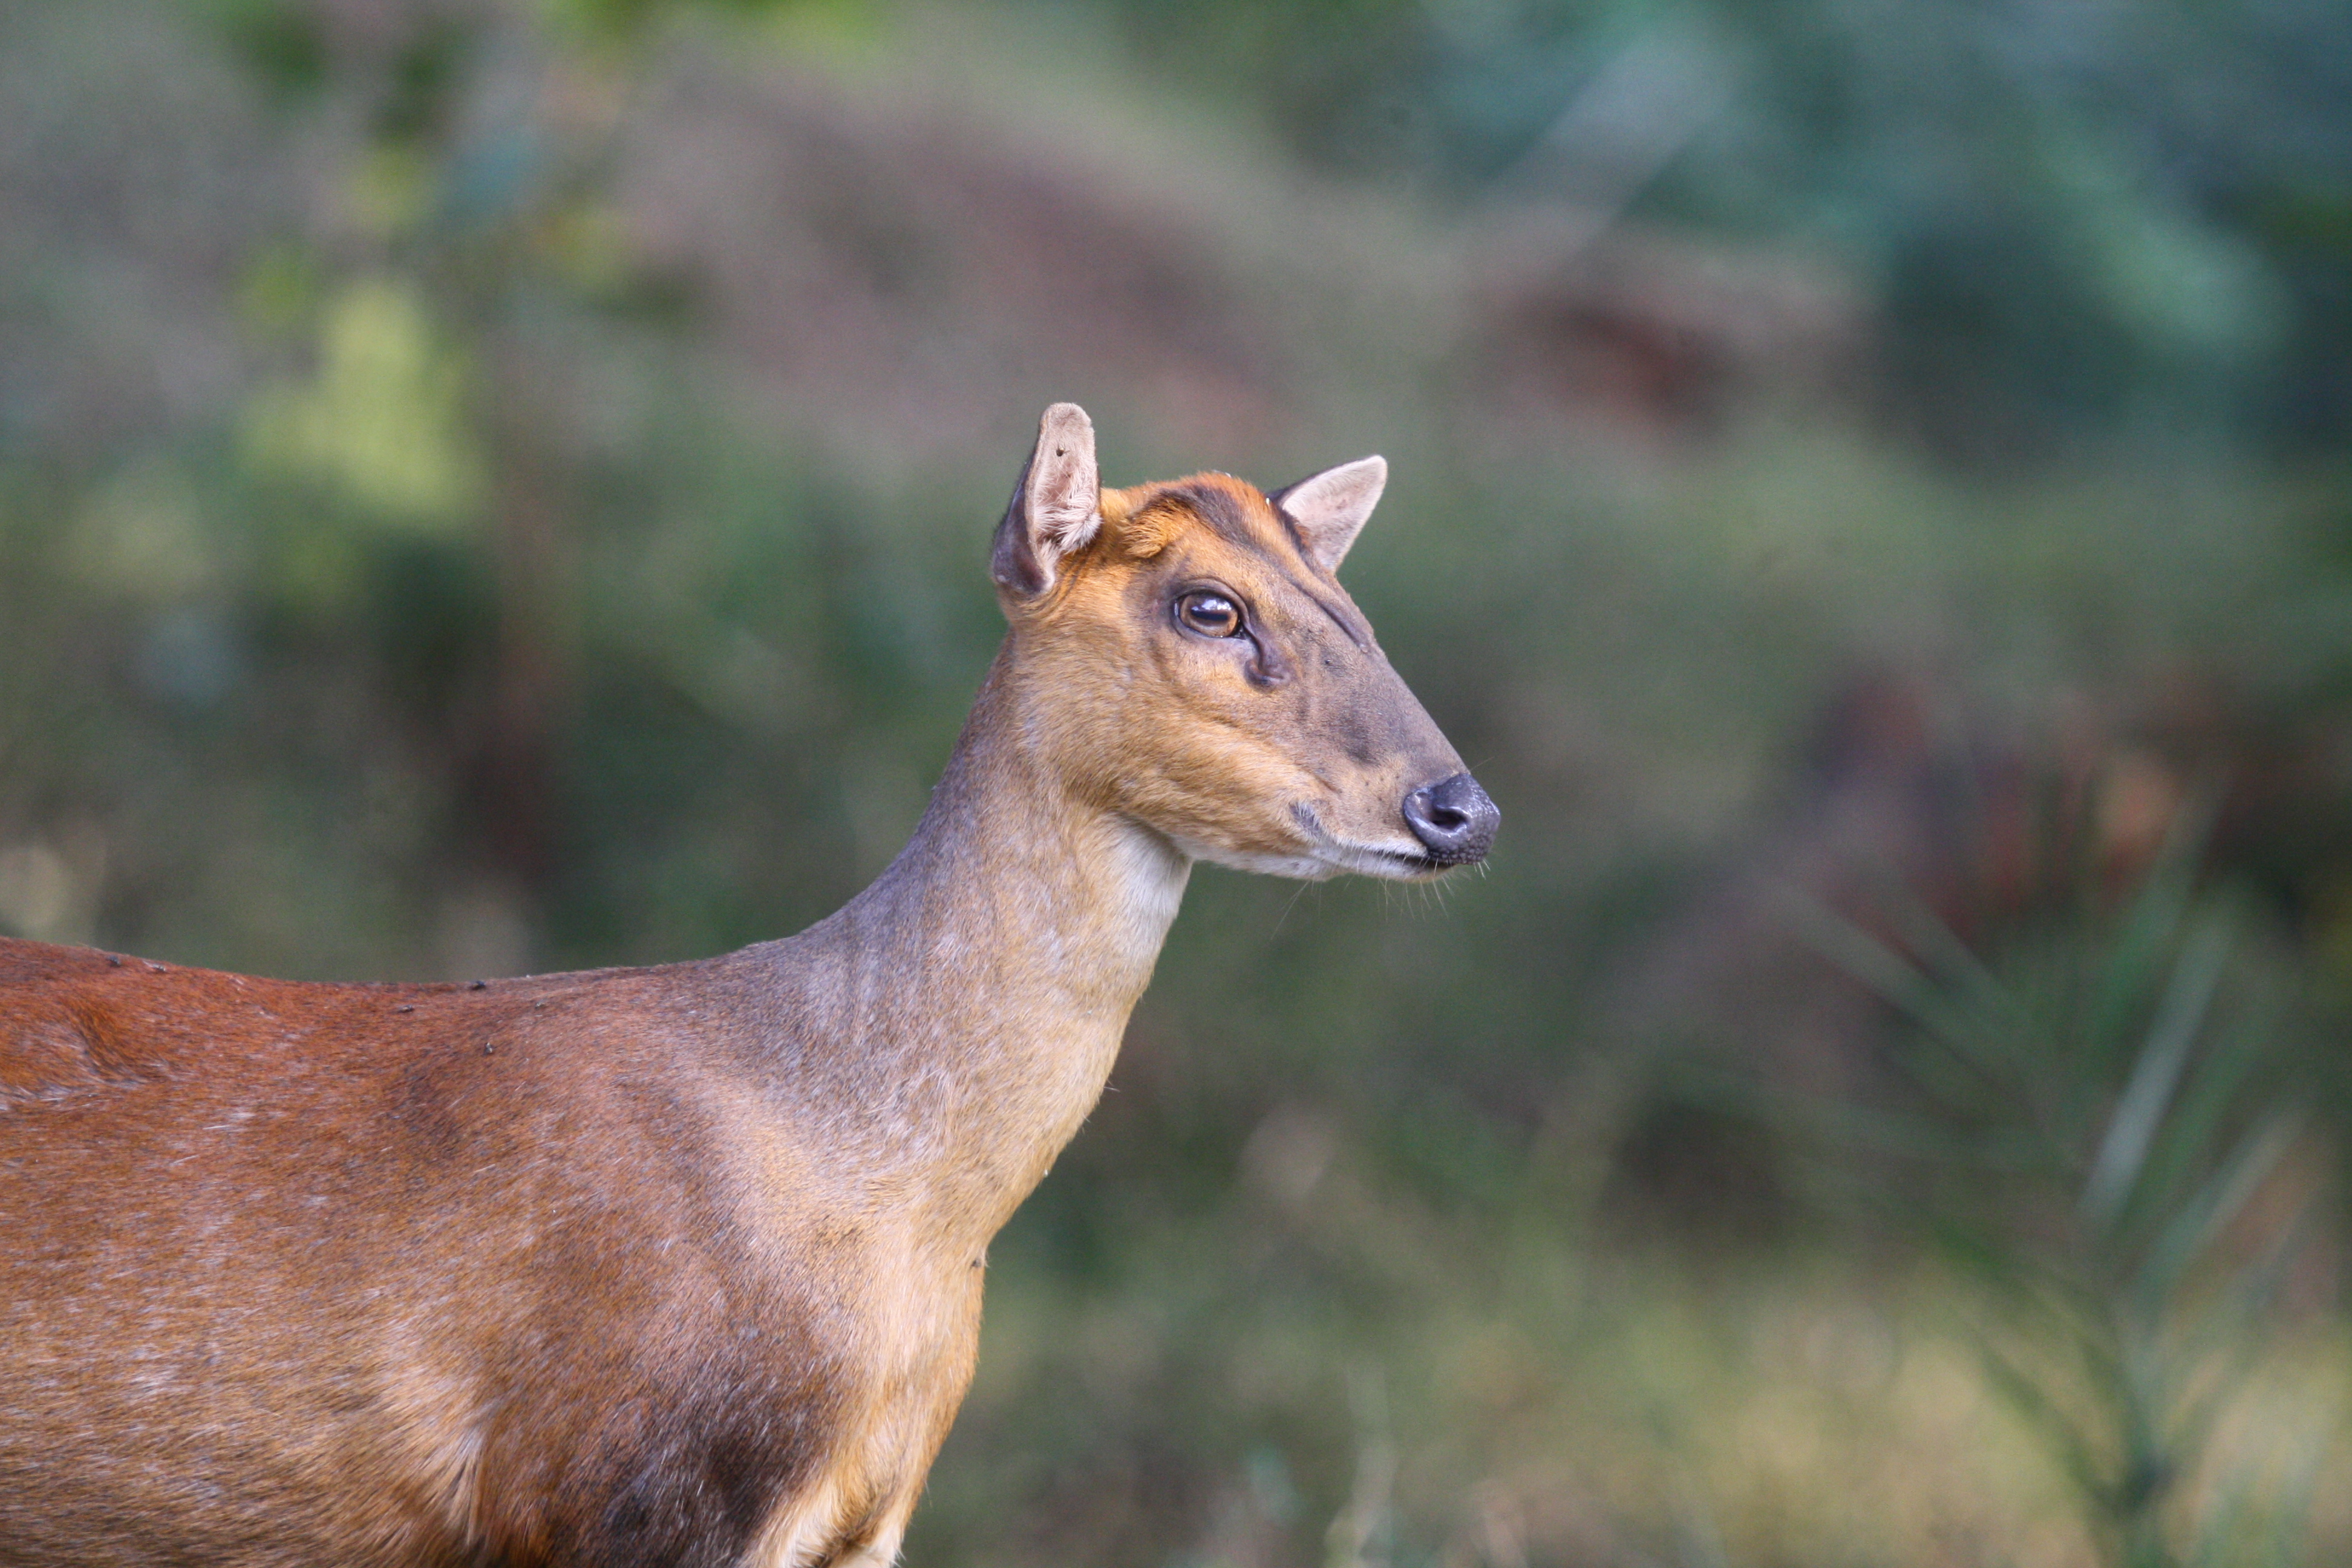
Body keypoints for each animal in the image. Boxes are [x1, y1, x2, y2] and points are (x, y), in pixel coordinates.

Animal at [0, 409, 1495, 1568]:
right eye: (1209, 606)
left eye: (1354, 612)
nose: (1458, 807)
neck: (891, 1196)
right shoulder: (630, 1485)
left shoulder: (866, 1515)